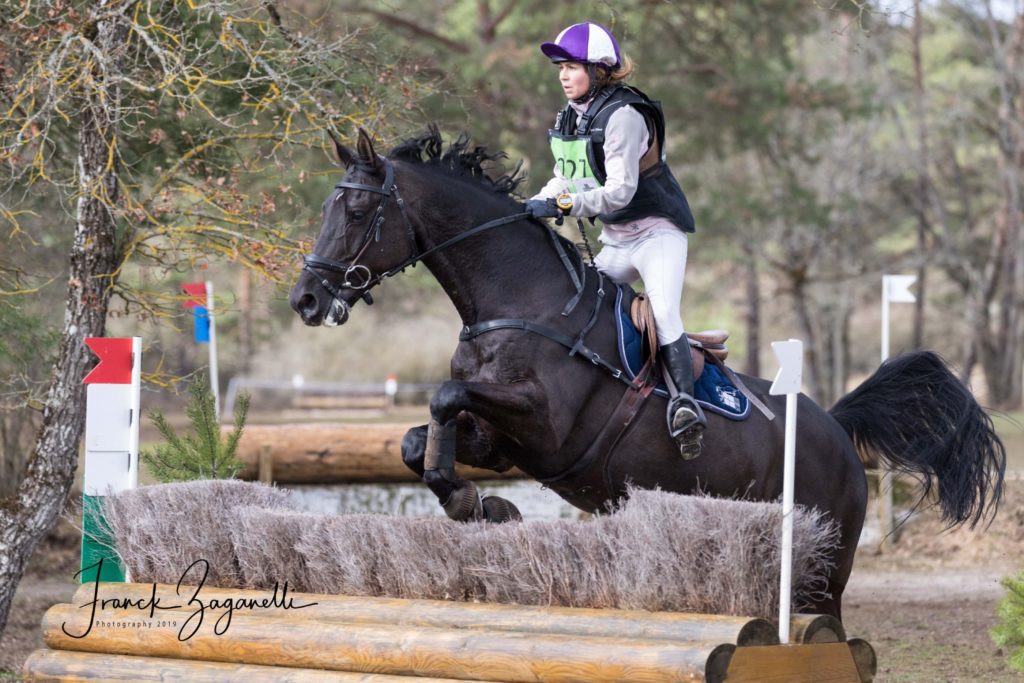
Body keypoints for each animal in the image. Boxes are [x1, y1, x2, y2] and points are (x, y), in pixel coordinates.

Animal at [292, 127, 1003, 618]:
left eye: (356, 213)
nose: (305, 300)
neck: (517, 301)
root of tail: (835, 426)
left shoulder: (545, 426)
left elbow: (442, 396)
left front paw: (474, 503)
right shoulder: (502, 440)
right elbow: (419, 440)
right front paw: (480, 504)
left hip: (824, 567)